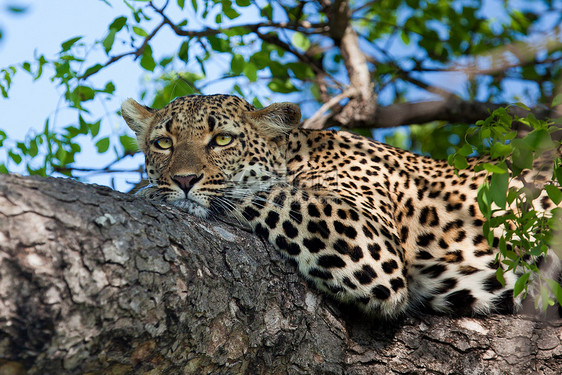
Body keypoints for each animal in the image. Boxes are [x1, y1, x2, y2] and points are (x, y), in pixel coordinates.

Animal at [122, 94, 560, 320]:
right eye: (163, 143)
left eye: (223, 140)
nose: (183, 180)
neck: (299, 156)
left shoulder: (368, 239)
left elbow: (267, 193)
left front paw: (147, 194)